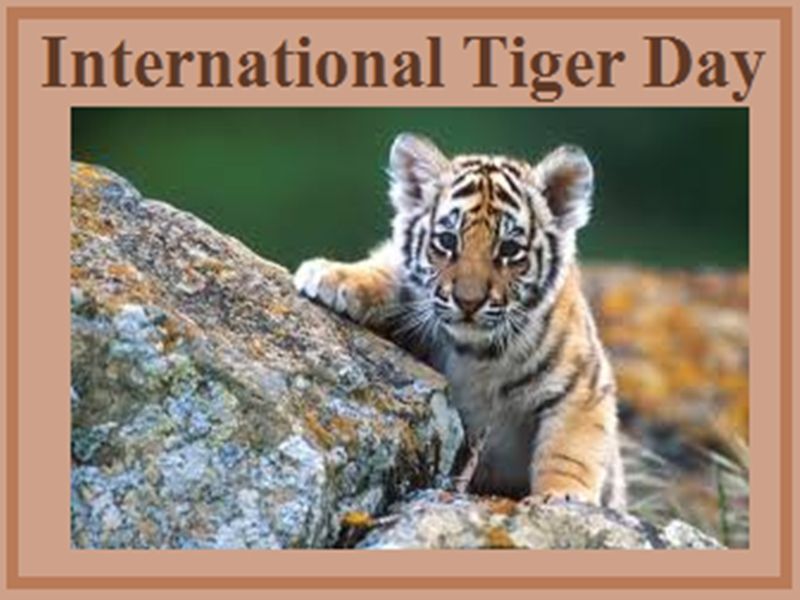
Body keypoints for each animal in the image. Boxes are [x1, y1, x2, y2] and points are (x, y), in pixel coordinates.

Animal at [293, 133, 626, 510]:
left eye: (509, 249)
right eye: (447, 240)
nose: (468, 301)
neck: (476, 353)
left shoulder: (583, 386)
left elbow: (570, 451)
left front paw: (561, 496)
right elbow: (391, 270)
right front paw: (330, 275)